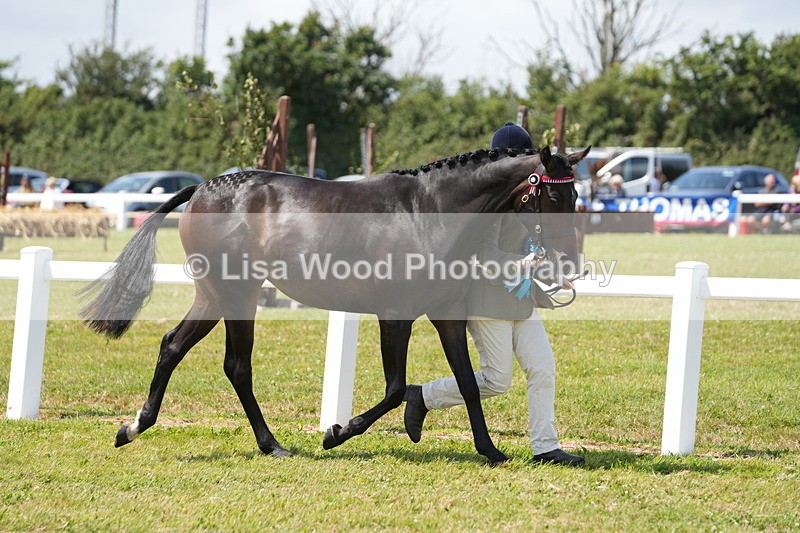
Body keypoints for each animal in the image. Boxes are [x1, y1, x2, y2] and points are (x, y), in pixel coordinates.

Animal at [81, 145, 590, 465]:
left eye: (576, 194)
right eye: (555, 193)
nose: (570, 264)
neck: (429, 213)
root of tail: (204, 188)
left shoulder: (447, 315)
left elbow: (467, 382)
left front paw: (490, 451)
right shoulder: (395, 315)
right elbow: (395, 388)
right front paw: (336, 433)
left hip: (215, 295)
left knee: (176, 347)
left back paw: (138, 428)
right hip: (235, 293)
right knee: (234, 364)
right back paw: (266, 443)